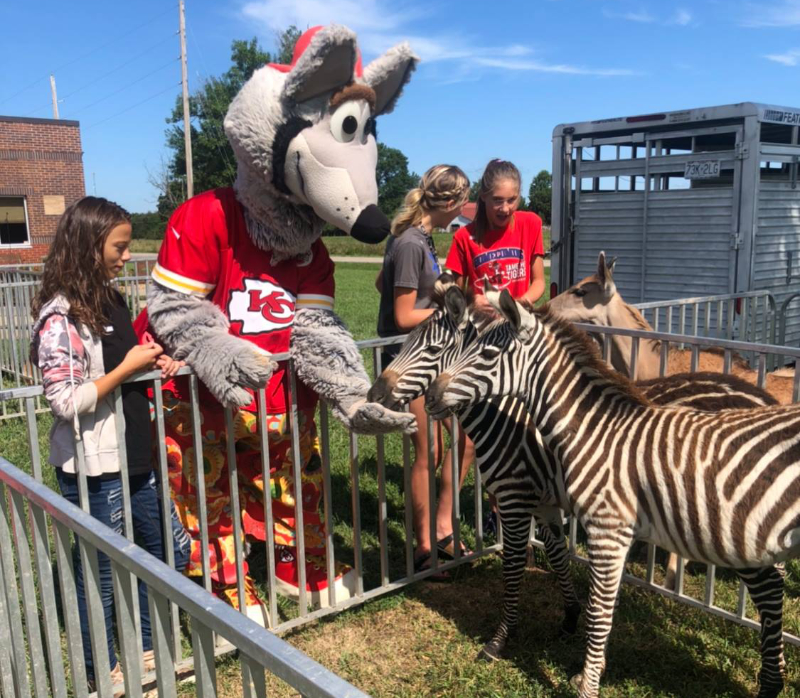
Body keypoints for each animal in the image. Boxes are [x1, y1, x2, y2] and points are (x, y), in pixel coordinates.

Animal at [366, 276, 780, 664]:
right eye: (405, 343)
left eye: (433, 350)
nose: (374, 395)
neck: (508, 418)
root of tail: (763, 396)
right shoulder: (544, 502)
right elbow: (558, 554)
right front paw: (569, 616)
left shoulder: (515, 500)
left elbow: (513, 568)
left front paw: (501, 639)